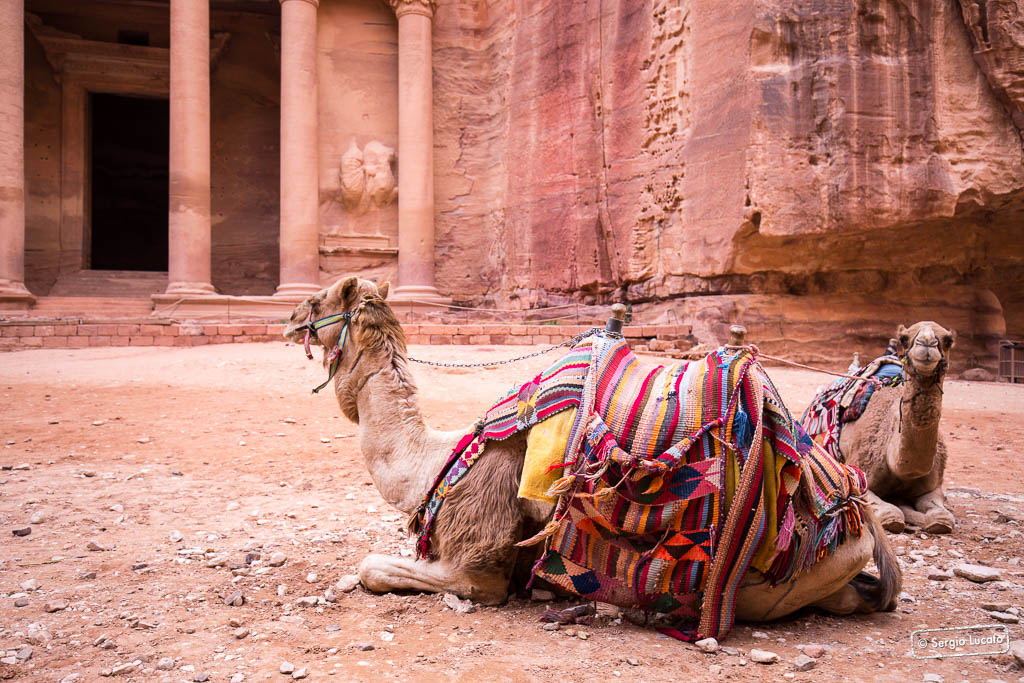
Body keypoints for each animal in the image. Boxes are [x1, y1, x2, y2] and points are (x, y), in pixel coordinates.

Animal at [283, 276, 900, 628]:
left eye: (315, 298)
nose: (287, 319)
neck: (430, 463)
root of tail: (856, 513)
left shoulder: (480, 547)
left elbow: (378, 569)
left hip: (764, 584)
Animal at [831, 322, 956, 534]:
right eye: (904, 339)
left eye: (948, 340)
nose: (926, 343)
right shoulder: (860, 476)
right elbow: (892, 515)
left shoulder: (934, 487)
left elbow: (942, 517)